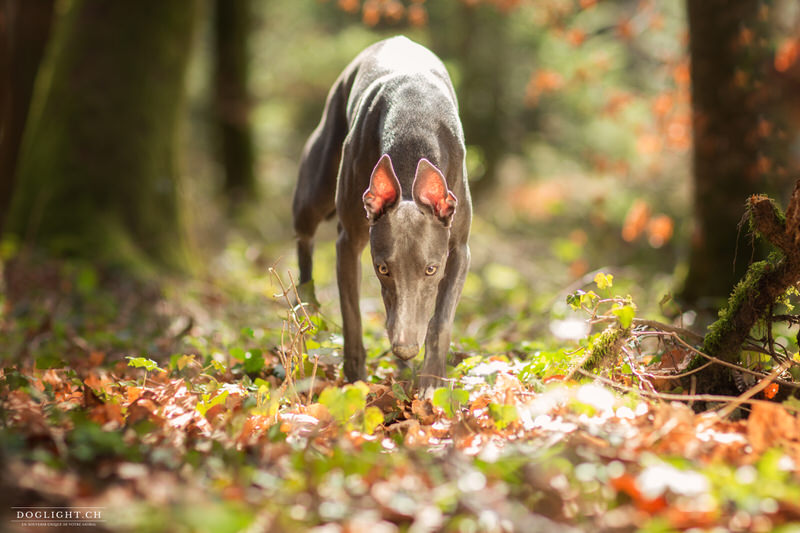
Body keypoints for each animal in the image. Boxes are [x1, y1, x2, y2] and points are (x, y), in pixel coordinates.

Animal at [292, 36, 468, 394]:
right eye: (382, 268)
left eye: (432, 269)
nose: (404, 348)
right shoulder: (349, 243)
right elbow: (353, 318)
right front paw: (356, 381)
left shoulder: (459, 248)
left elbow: (440, 322)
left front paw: (430, 383)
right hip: (315, 187)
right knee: (304, 235)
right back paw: (307, 303)